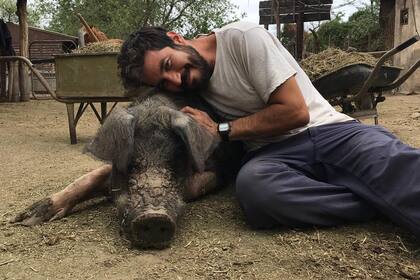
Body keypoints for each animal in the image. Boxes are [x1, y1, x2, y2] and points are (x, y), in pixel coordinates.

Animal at [12, 91, 243, 248]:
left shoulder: (219, 170)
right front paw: (23, 220)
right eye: (131, 163)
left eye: (175, 164)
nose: (154, 216)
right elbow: (92, 177)